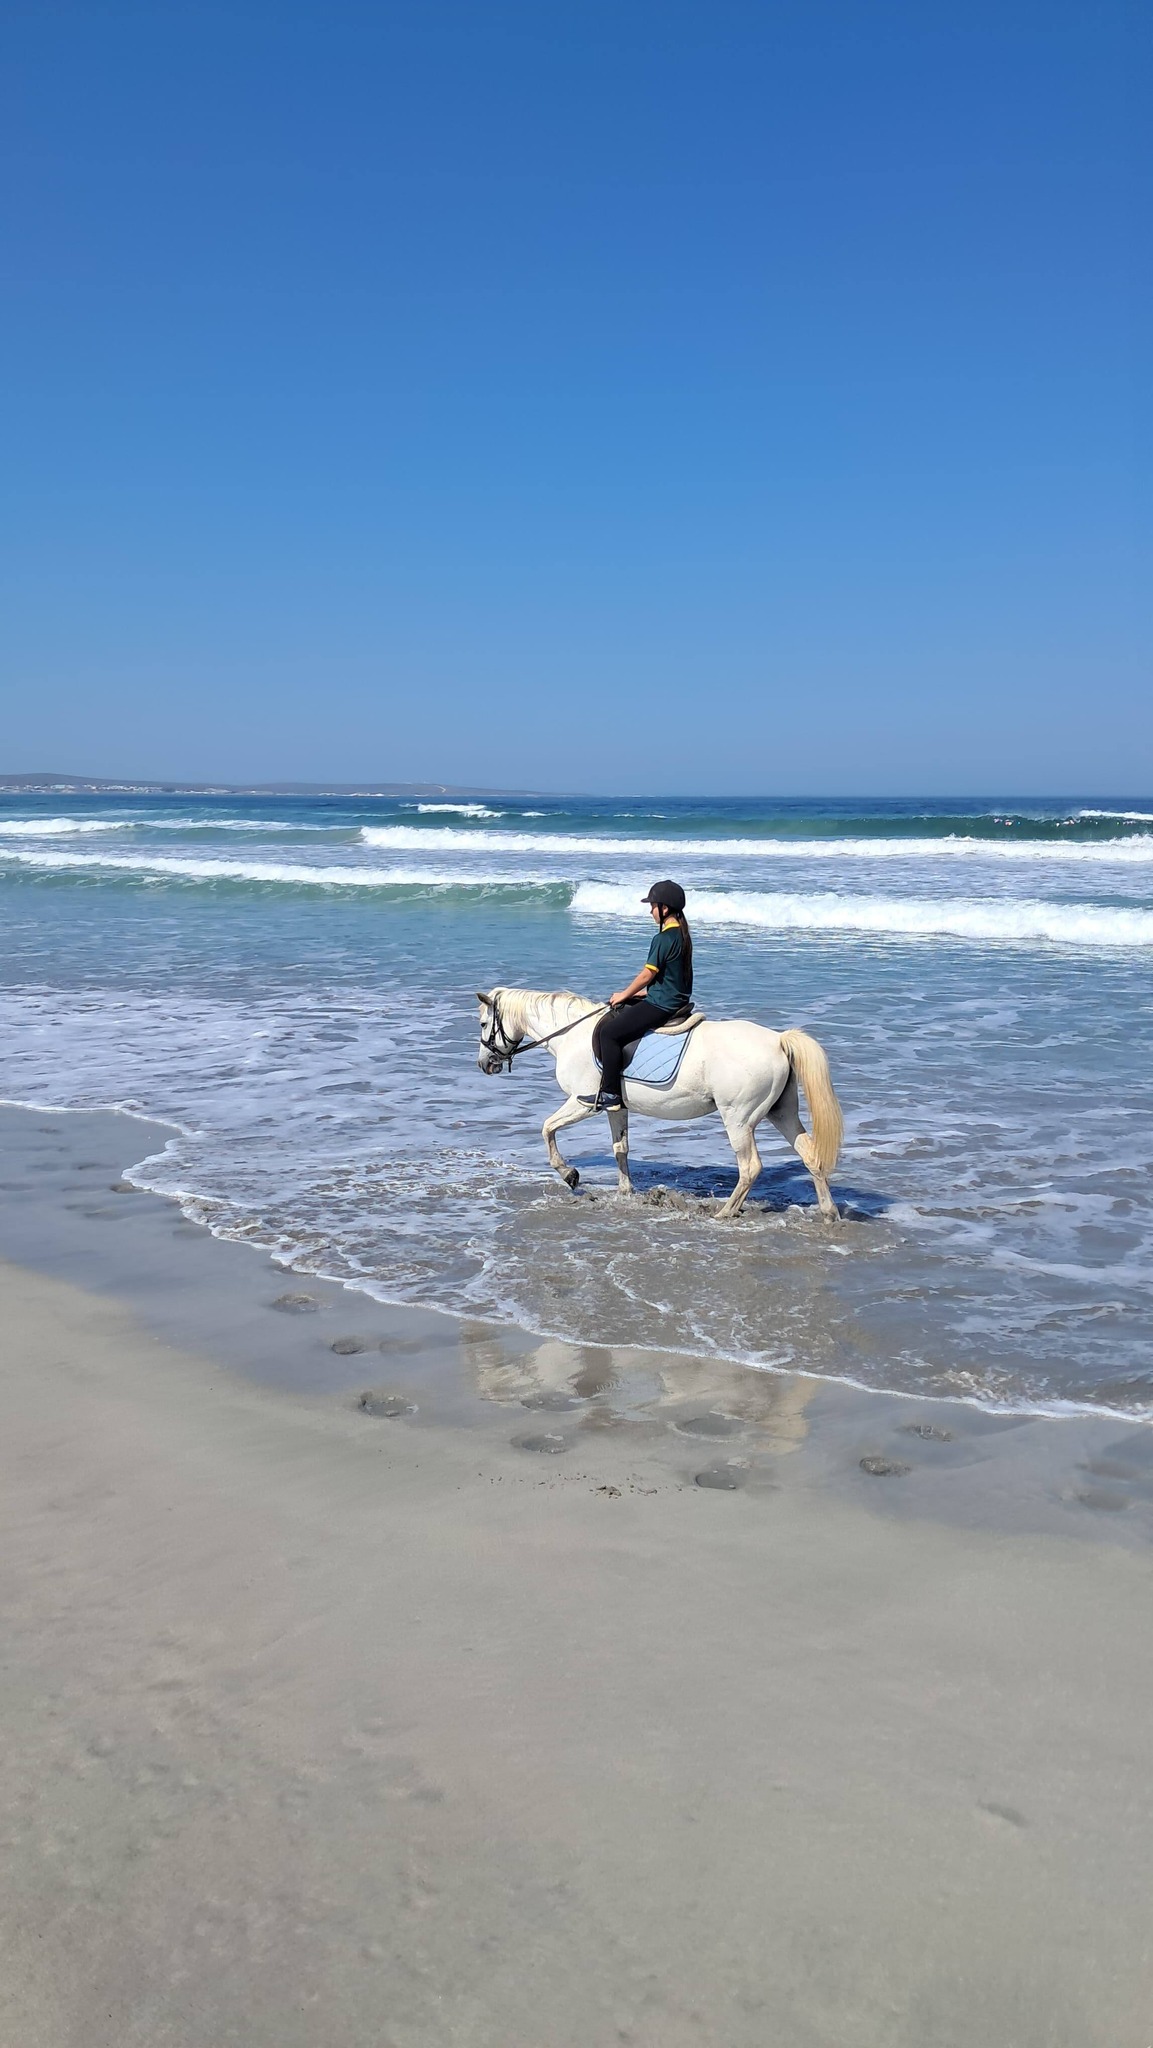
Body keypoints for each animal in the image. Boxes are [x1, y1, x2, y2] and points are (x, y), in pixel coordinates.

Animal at [476, 987, 844, 1221]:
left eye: (482, 1024)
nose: (484, 1065)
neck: (571, 1035)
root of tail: (779, 1040)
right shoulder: (616, 1107)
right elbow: (620, 1148)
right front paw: (625, 1193)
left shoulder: (582, 1103)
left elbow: (547, 1129)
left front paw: (570, 1175)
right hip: (780, 1112)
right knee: (810, 1156)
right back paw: (828, 1213)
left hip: (738, 1118)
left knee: (750, 1167)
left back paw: (725, 1212)